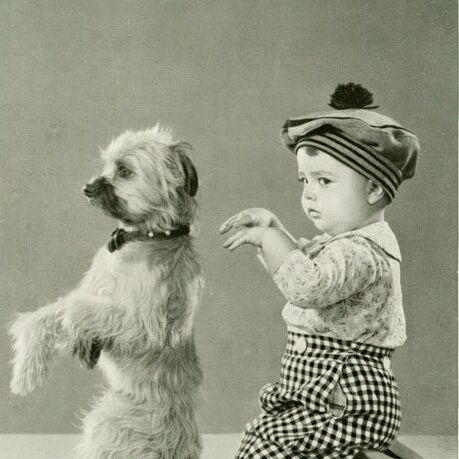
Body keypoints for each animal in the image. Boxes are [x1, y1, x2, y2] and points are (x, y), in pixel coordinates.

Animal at [9, 125, 204, 459]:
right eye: (107, 166)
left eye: (124, 171)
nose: (87, 188)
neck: (142, 237)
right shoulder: (95, 291)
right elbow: (47, 315)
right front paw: (25, 373)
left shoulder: (142, 325)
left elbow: (75, 308)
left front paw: (79, 339)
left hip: (109, 427)